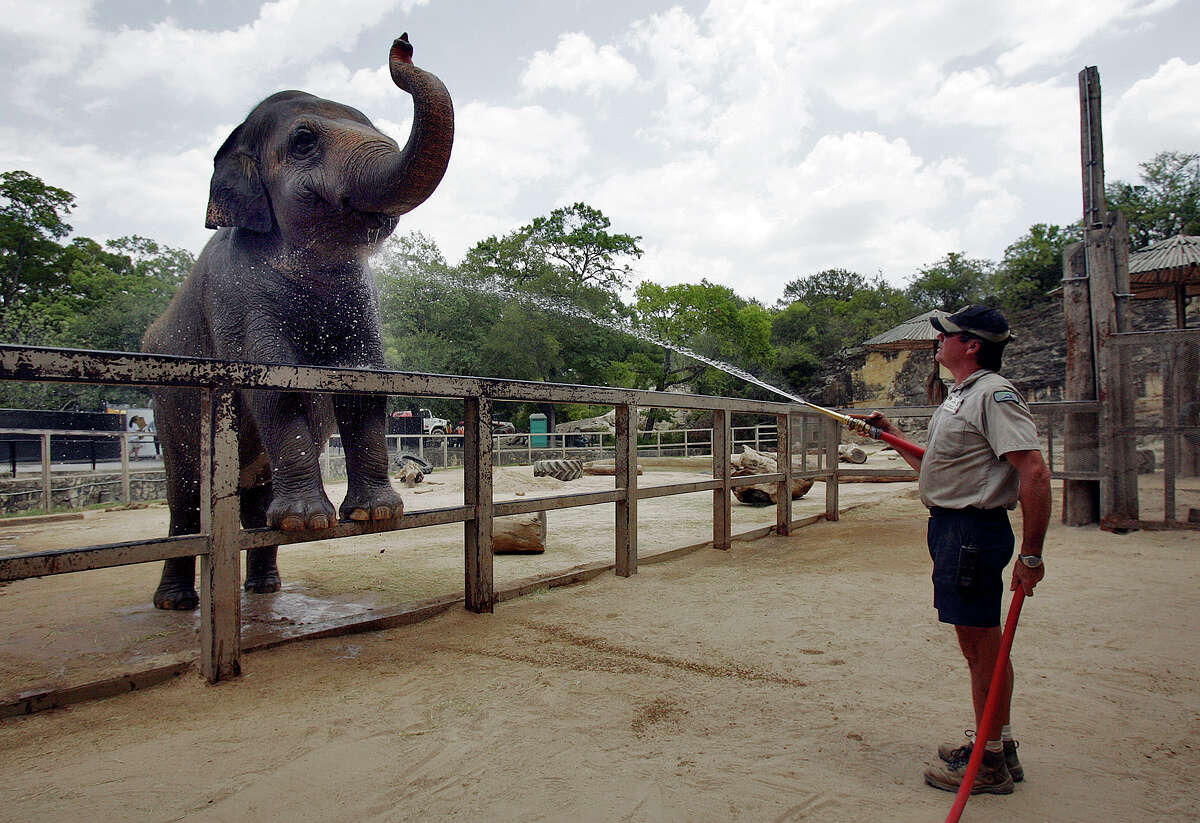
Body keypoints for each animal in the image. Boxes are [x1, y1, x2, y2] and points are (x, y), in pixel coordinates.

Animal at [142, 33, 451, 611]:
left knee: (251, 495)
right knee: (185, 497)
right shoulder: (234, 293)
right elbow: (273, 378)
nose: (402, 46)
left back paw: (266, 585)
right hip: (167, 404)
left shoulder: (360, 300)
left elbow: (365, 379)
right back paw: (176, 602)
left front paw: (376, 513)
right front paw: (313, 522)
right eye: (304, 140)